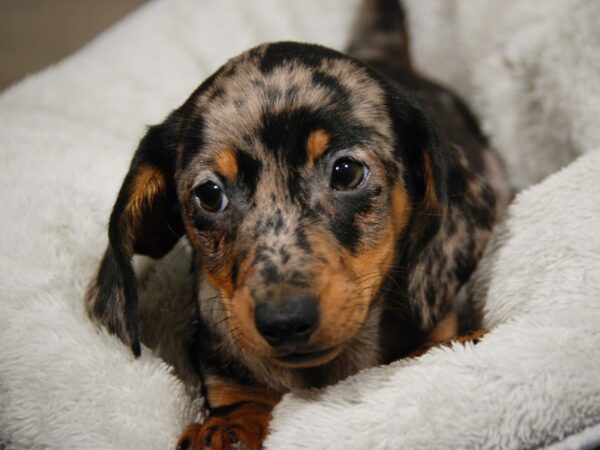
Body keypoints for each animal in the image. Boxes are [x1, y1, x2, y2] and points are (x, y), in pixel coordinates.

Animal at [84, 0, 508, 450]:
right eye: (210, 194)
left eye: (346, 172)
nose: (284, 321)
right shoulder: (225, 377)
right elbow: (241, 402)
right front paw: (226, 430)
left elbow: (425, 351)